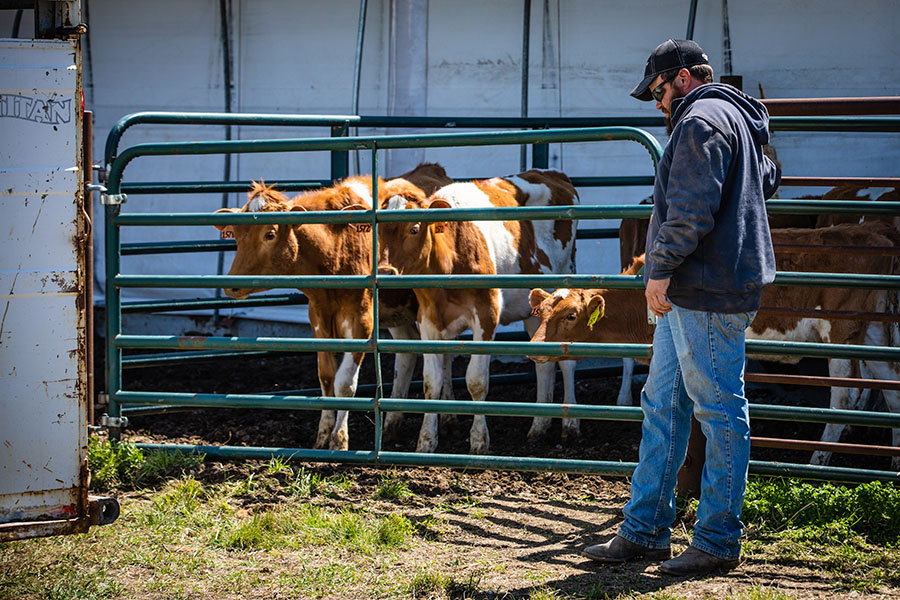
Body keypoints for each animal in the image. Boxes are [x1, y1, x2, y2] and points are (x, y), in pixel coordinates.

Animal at [214, 164, 454, 450]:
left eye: (269, 234)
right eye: (236, 235)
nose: (231, 286)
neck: (336, 248)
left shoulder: (361, 320)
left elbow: (345, 383)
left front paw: (340, 439)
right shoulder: (319, 316)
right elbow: (327, 377)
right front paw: (323, 435)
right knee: (409, 350)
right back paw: (393, 422)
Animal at [376, 171, 580, 452]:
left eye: (414, 229)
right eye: (377, 231)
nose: (385, 272)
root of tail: (551, 173)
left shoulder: (487, 315)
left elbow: (476, 381)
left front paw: (479, 440)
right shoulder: (428, 321)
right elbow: (431, 383)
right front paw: (426, 442)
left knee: (567, 362)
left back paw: (570, 427)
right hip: (533, 312)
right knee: (545, 366)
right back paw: (538, 427)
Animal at [528, 223, 900, 472]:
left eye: (572, 314)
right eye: (541, 312)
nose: (532, 347)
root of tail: (877, 235)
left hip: (840, 334)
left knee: (843, 399)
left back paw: (817, 460)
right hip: (872, 334)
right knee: (891, 387)